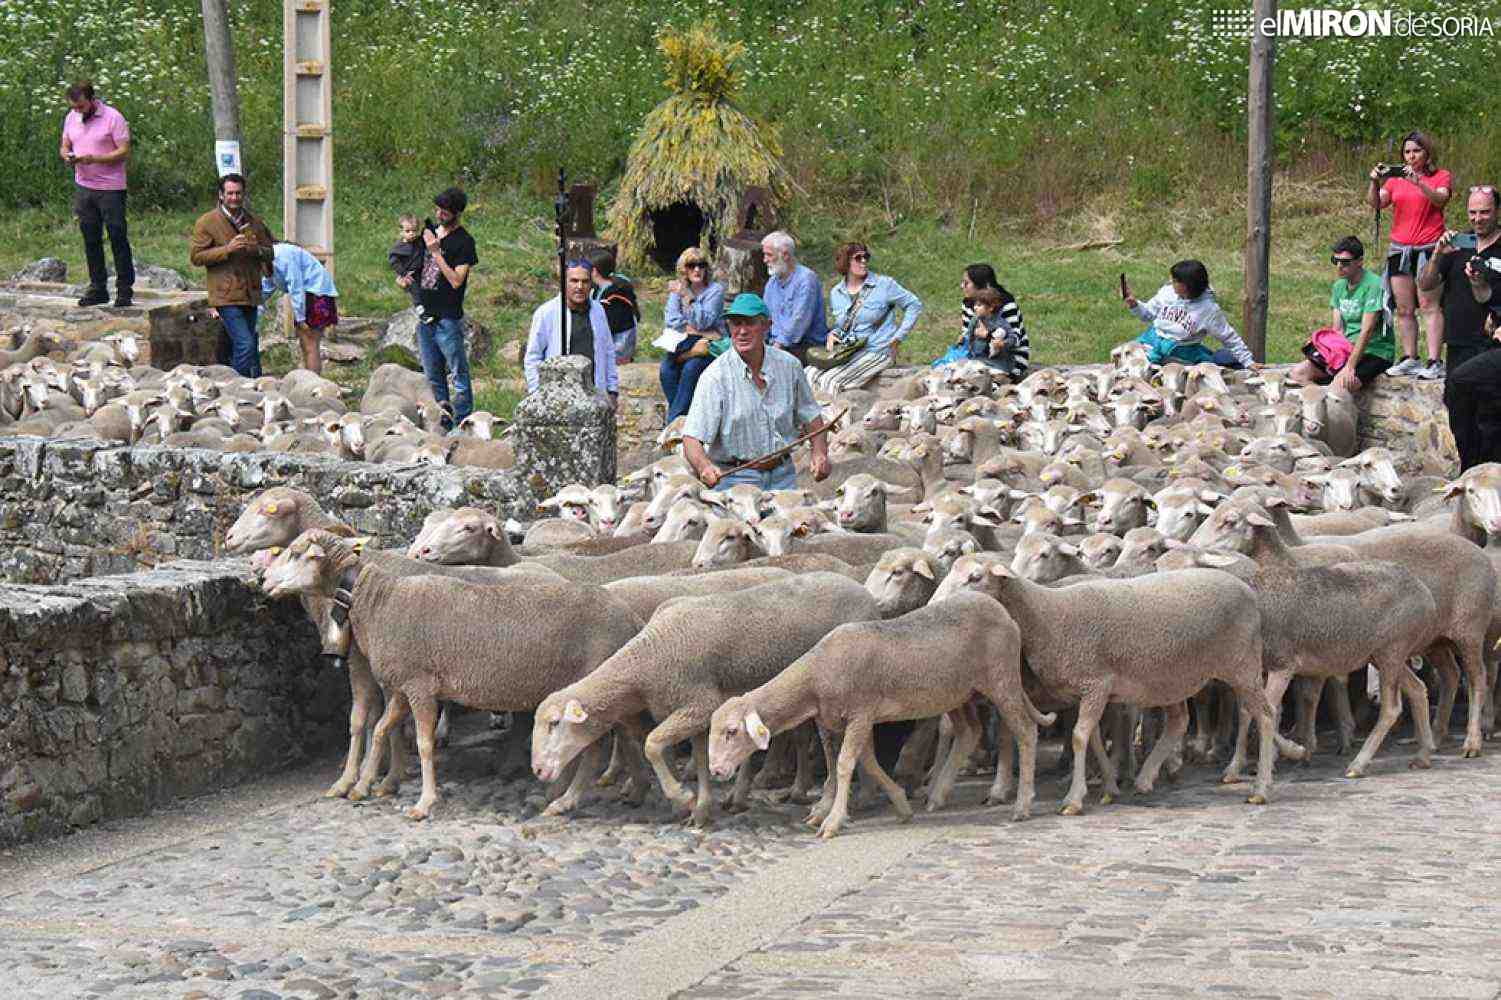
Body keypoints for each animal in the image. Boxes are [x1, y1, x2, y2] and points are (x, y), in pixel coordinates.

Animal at [267, 528, 642, 816]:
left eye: (296, 554)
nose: (264, 579)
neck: (376, 600)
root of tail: (632, 618)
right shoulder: (404, 685)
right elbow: (381, 728)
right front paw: (363, 784)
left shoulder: (420, 685)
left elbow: (423, 743)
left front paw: (424, 802)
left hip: (592, 687)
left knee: (595, 748)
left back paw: (571, 798)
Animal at [534, 573, 876, 822]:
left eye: (554, 723)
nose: (537, 770)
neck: (646, 660)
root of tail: (862, 590)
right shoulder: (691, 711)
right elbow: (700, 758)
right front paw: (701, 808)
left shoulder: (699, 705)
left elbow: (652, 745)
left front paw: (682, 797)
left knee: (832, 746)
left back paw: (832, 804)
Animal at [711, 591, 1056, 834]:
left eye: (732, 731)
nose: (716, 770)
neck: (816, 676)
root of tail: (1005, 614)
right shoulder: (847, 720)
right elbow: (866, 761)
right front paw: (902, 806)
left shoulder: (861, 713)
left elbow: (844, 764)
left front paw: (833, 821)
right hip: (959, 692)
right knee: (969, 732)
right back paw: (937, 796)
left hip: (1001, 678)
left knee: (1026, 731)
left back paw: (1022, 805)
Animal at [930, 561, 1272, 810]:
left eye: (975, 577)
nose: (935, 605)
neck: (1047, 615)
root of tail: (1248, 591)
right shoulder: (1088, 691)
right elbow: (1091, 737)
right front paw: (1108, 786)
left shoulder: (1096, 683)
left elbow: (1079, 737)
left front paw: (1073, 799)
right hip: (1170, 675)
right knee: (1178, 721)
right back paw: (1146, 778)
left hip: (1242, 665)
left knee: (1265, 715)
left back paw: (1260, 787)